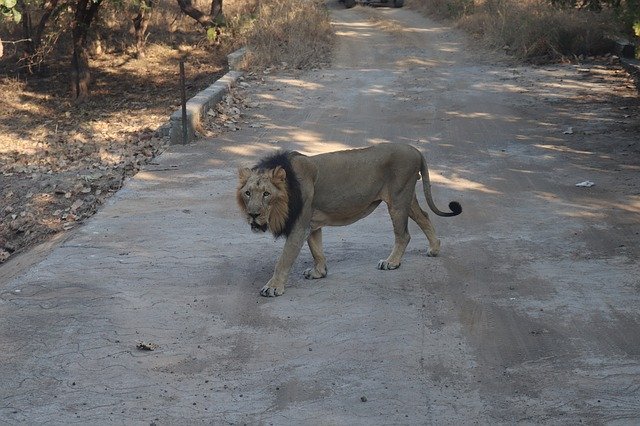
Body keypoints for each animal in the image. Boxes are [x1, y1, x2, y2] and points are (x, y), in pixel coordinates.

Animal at [235, 143, 460, 296]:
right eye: (248, 193)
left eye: (266, 194)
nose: (253, 214)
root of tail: (415, 149)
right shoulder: (311, 224)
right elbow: (316, 249)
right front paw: (319, 272)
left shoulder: (299, 225)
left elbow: (284, 259)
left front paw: (273, 287)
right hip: (406, 198)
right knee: (424, 216)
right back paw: (434, 248)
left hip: (397, 200)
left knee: (403, 234)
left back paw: (391, 262)